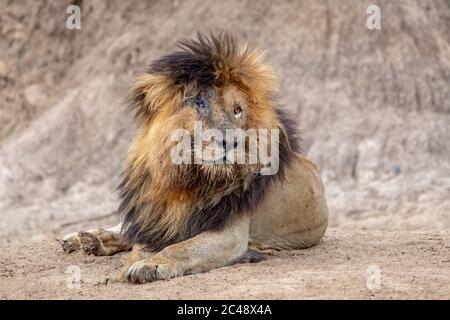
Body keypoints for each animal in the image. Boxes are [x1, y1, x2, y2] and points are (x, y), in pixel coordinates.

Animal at [61, 32, 328, 284]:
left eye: (237, 110)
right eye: (200, 103)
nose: (231, 141)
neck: (190, 177)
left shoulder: (229, 235)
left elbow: (182, 249)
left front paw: (150, 265)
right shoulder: (158, 219)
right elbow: (139, 247)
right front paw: (124, 268)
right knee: (125, 229)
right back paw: (84, 238)